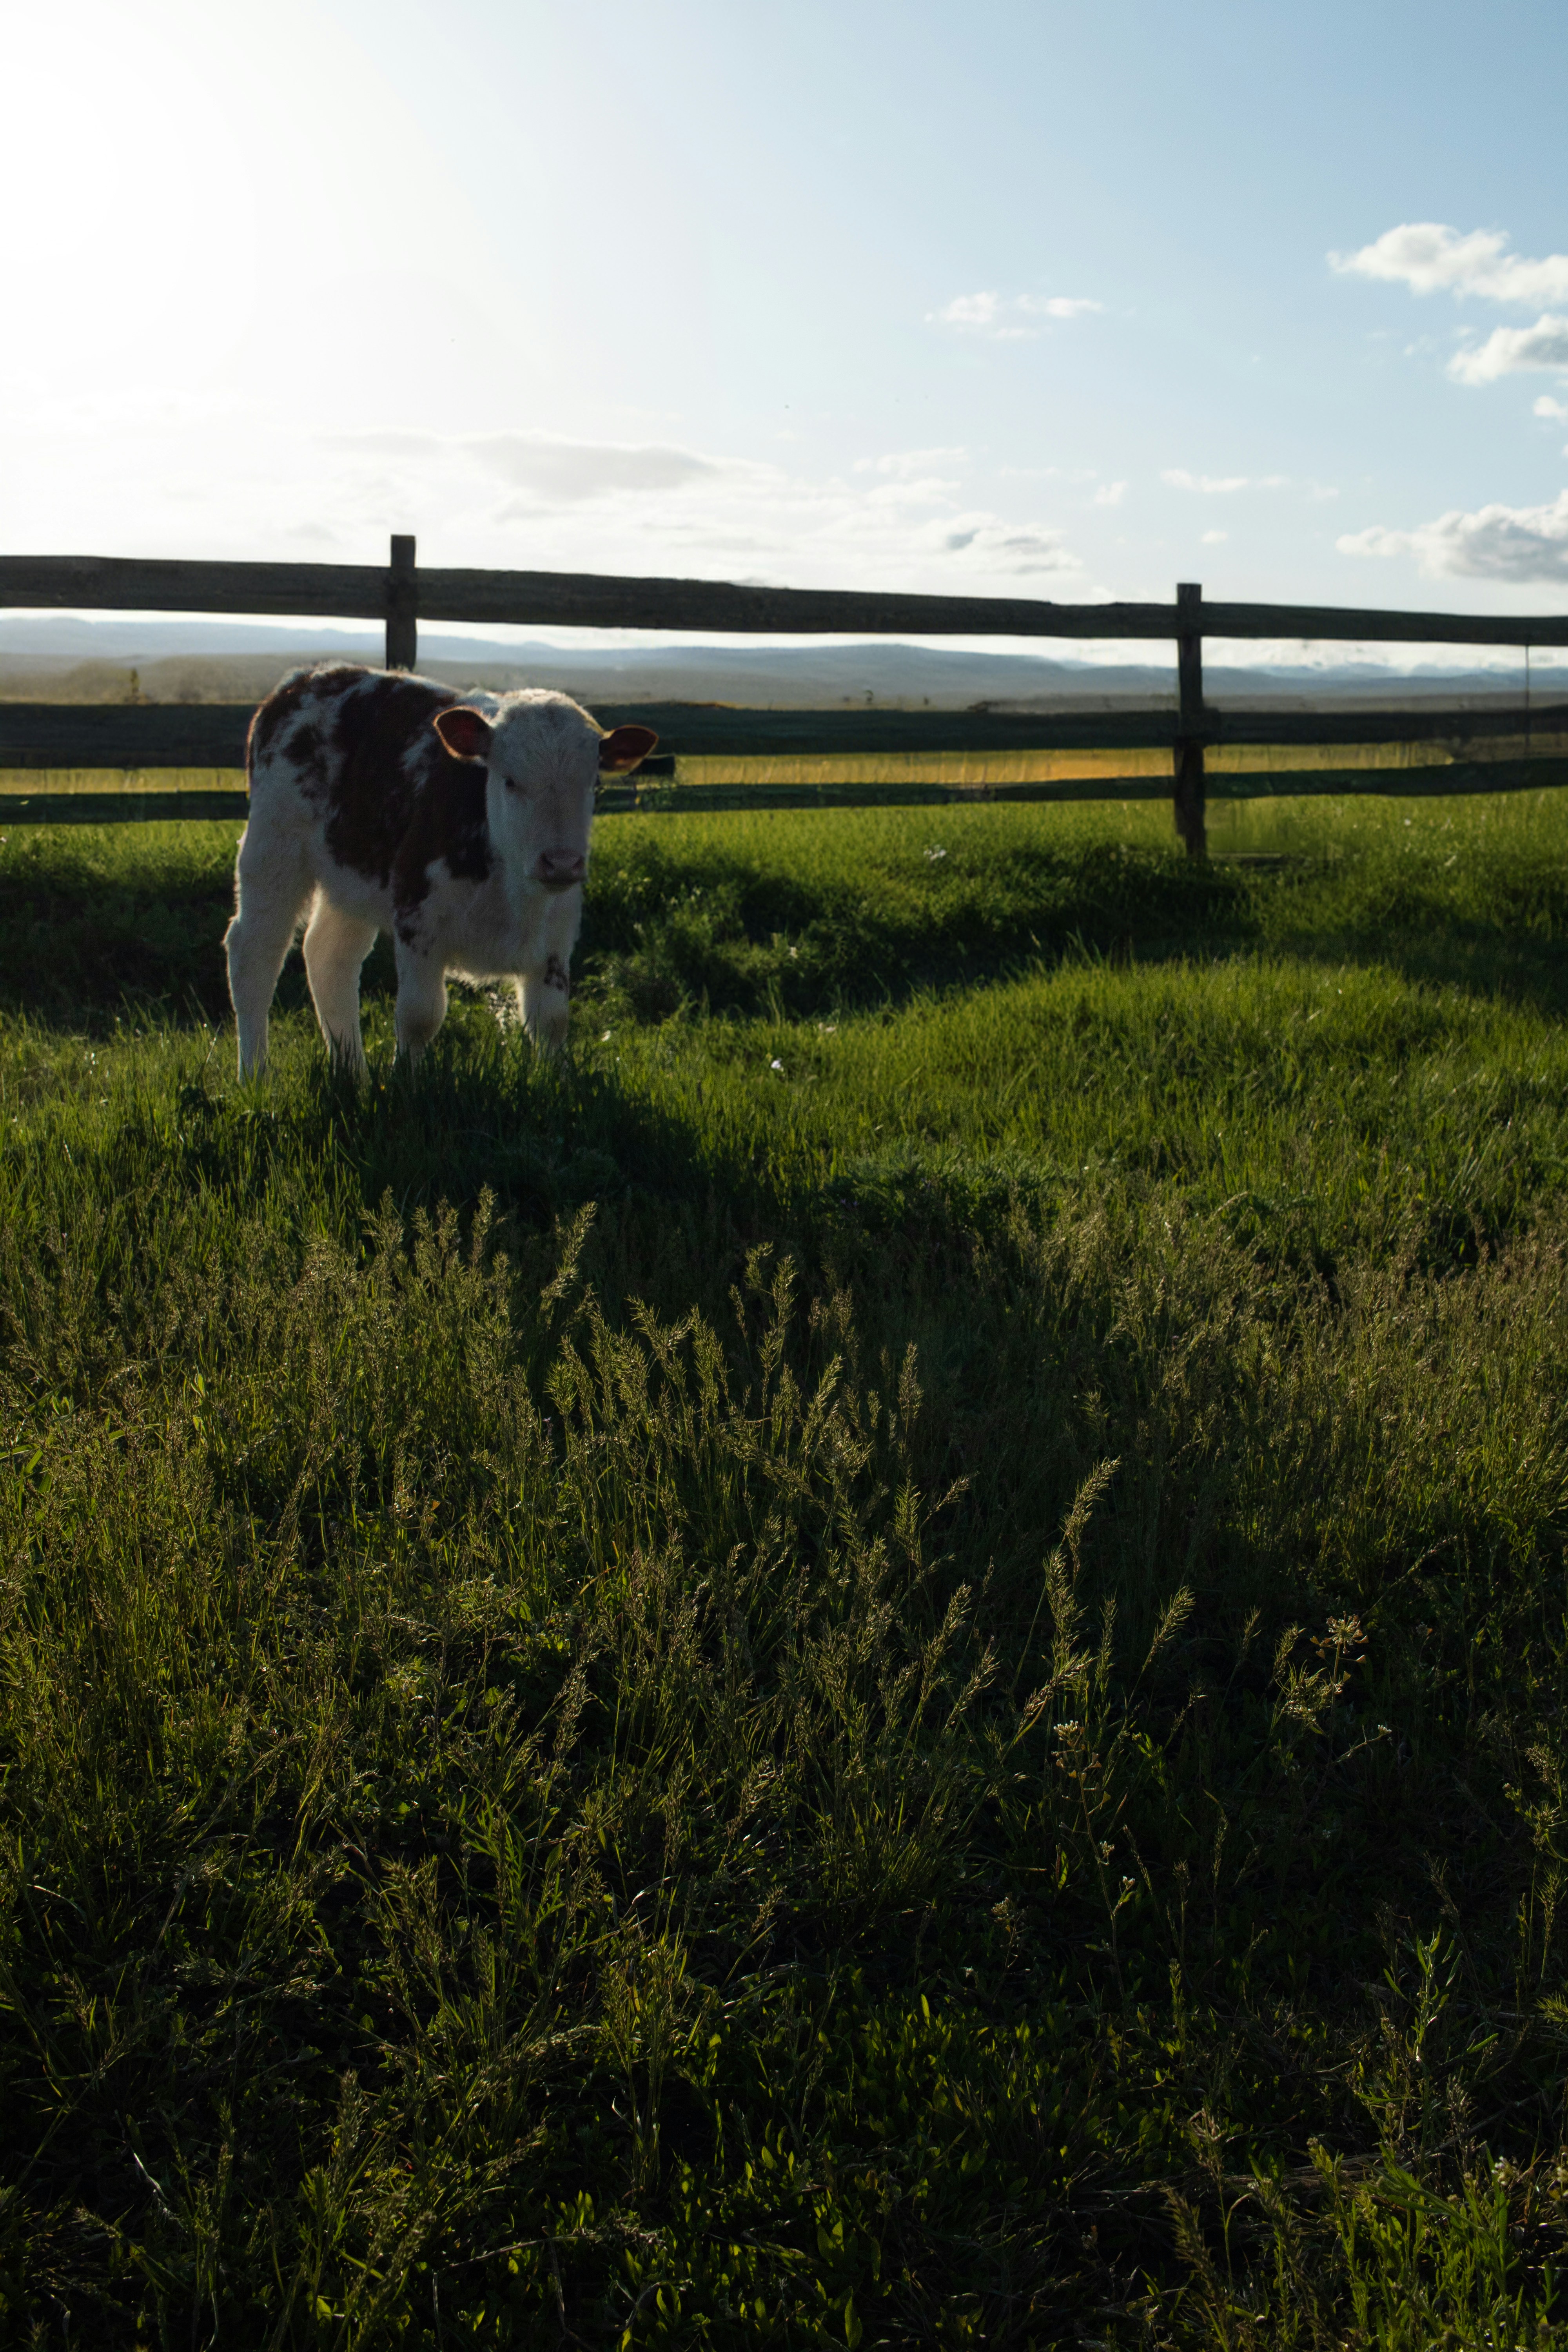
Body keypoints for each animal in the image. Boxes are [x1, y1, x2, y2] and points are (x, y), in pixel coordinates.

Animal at [224, 663, 656, 1078]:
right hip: (273, 847)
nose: (562, 861)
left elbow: (551, 1021)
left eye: (593, 784)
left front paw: (558, 1083)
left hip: (350, 878)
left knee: (328, 957)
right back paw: (256, 1075)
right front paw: (406, 1081)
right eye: (510, 780)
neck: (510, 891)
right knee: (255, 955)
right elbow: (419, 1016)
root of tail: (308, 678)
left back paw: (353, 1073)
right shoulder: (418, 919)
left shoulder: (556, 935)